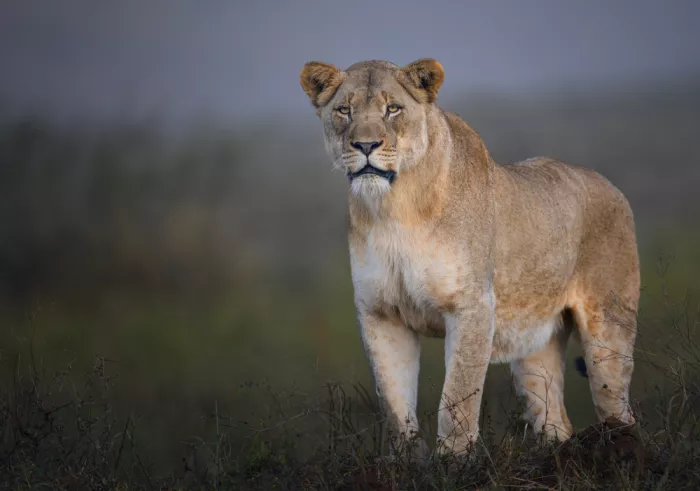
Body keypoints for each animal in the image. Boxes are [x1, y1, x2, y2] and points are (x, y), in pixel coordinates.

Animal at [300, 58, 639, 458]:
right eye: (344, 110)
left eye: (392, 109)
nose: (365, 144)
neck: (394, 208)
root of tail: (610, 185)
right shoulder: (379, 313)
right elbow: (395, 403)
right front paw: (406, 461)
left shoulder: (472, 306)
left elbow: (458, 397)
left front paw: (455, 460)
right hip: (535, 346)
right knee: (554, 416)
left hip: (608, 331)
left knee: (618, 404)